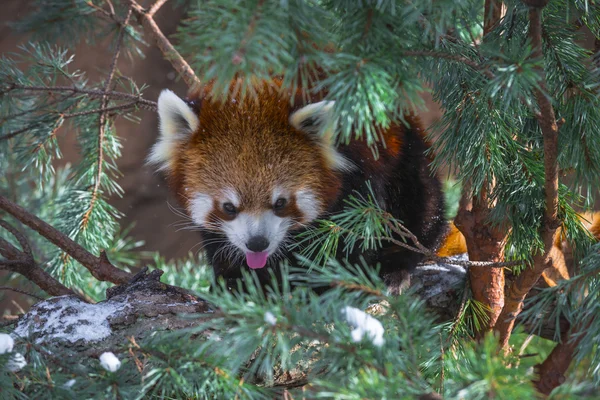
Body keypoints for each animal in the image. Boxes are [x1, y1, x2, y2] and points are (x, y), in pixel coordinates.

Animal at [148, 78, 448, 290]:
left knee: (422, 208)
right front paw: (235, 281)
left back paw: (395, 266)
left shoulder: (362, 168)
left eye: (280, 203)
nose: (257, 243)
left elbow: (353, 234)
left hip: (408, 157)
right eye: (228, 207)